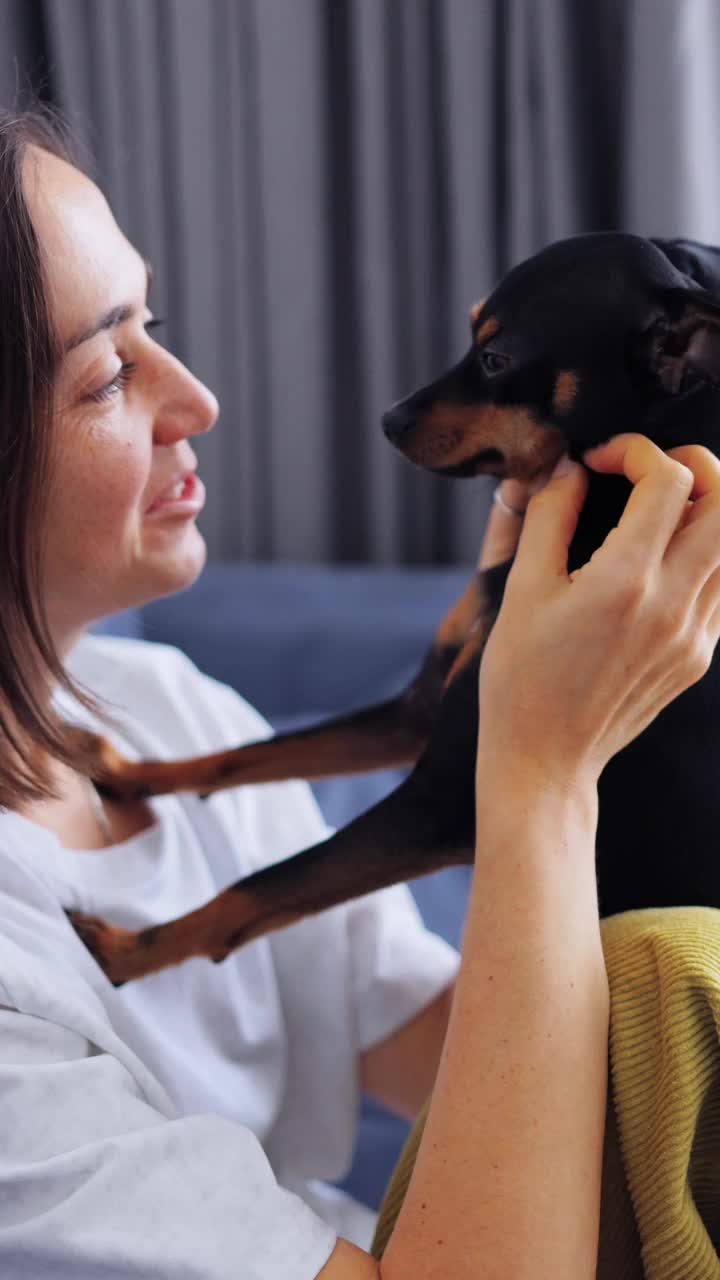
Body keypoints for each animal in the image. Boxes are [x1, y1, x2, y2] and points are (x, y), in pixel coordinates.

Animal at [67, 235, 717, 983]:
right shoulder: (417, 714)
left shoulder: (442, 803)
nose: (387, 420)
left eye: (496, 359)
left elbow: (266, 884)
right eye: (469, 332)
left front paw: (125, 950)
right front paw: (128, 774)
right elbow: (252, 752)